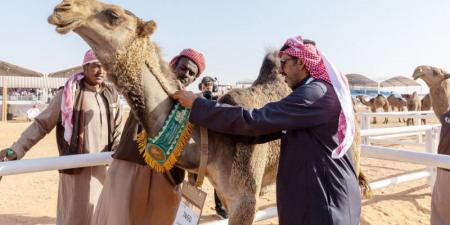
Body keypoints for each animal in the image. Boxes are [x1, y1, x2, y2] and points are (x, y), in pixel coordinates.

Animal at [47, 0, 370, 224]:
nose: (61, 8)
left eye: (113, 15)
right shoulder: (225, 191)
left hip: (350, 151)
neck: (209, 141)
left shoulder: (245, 199)